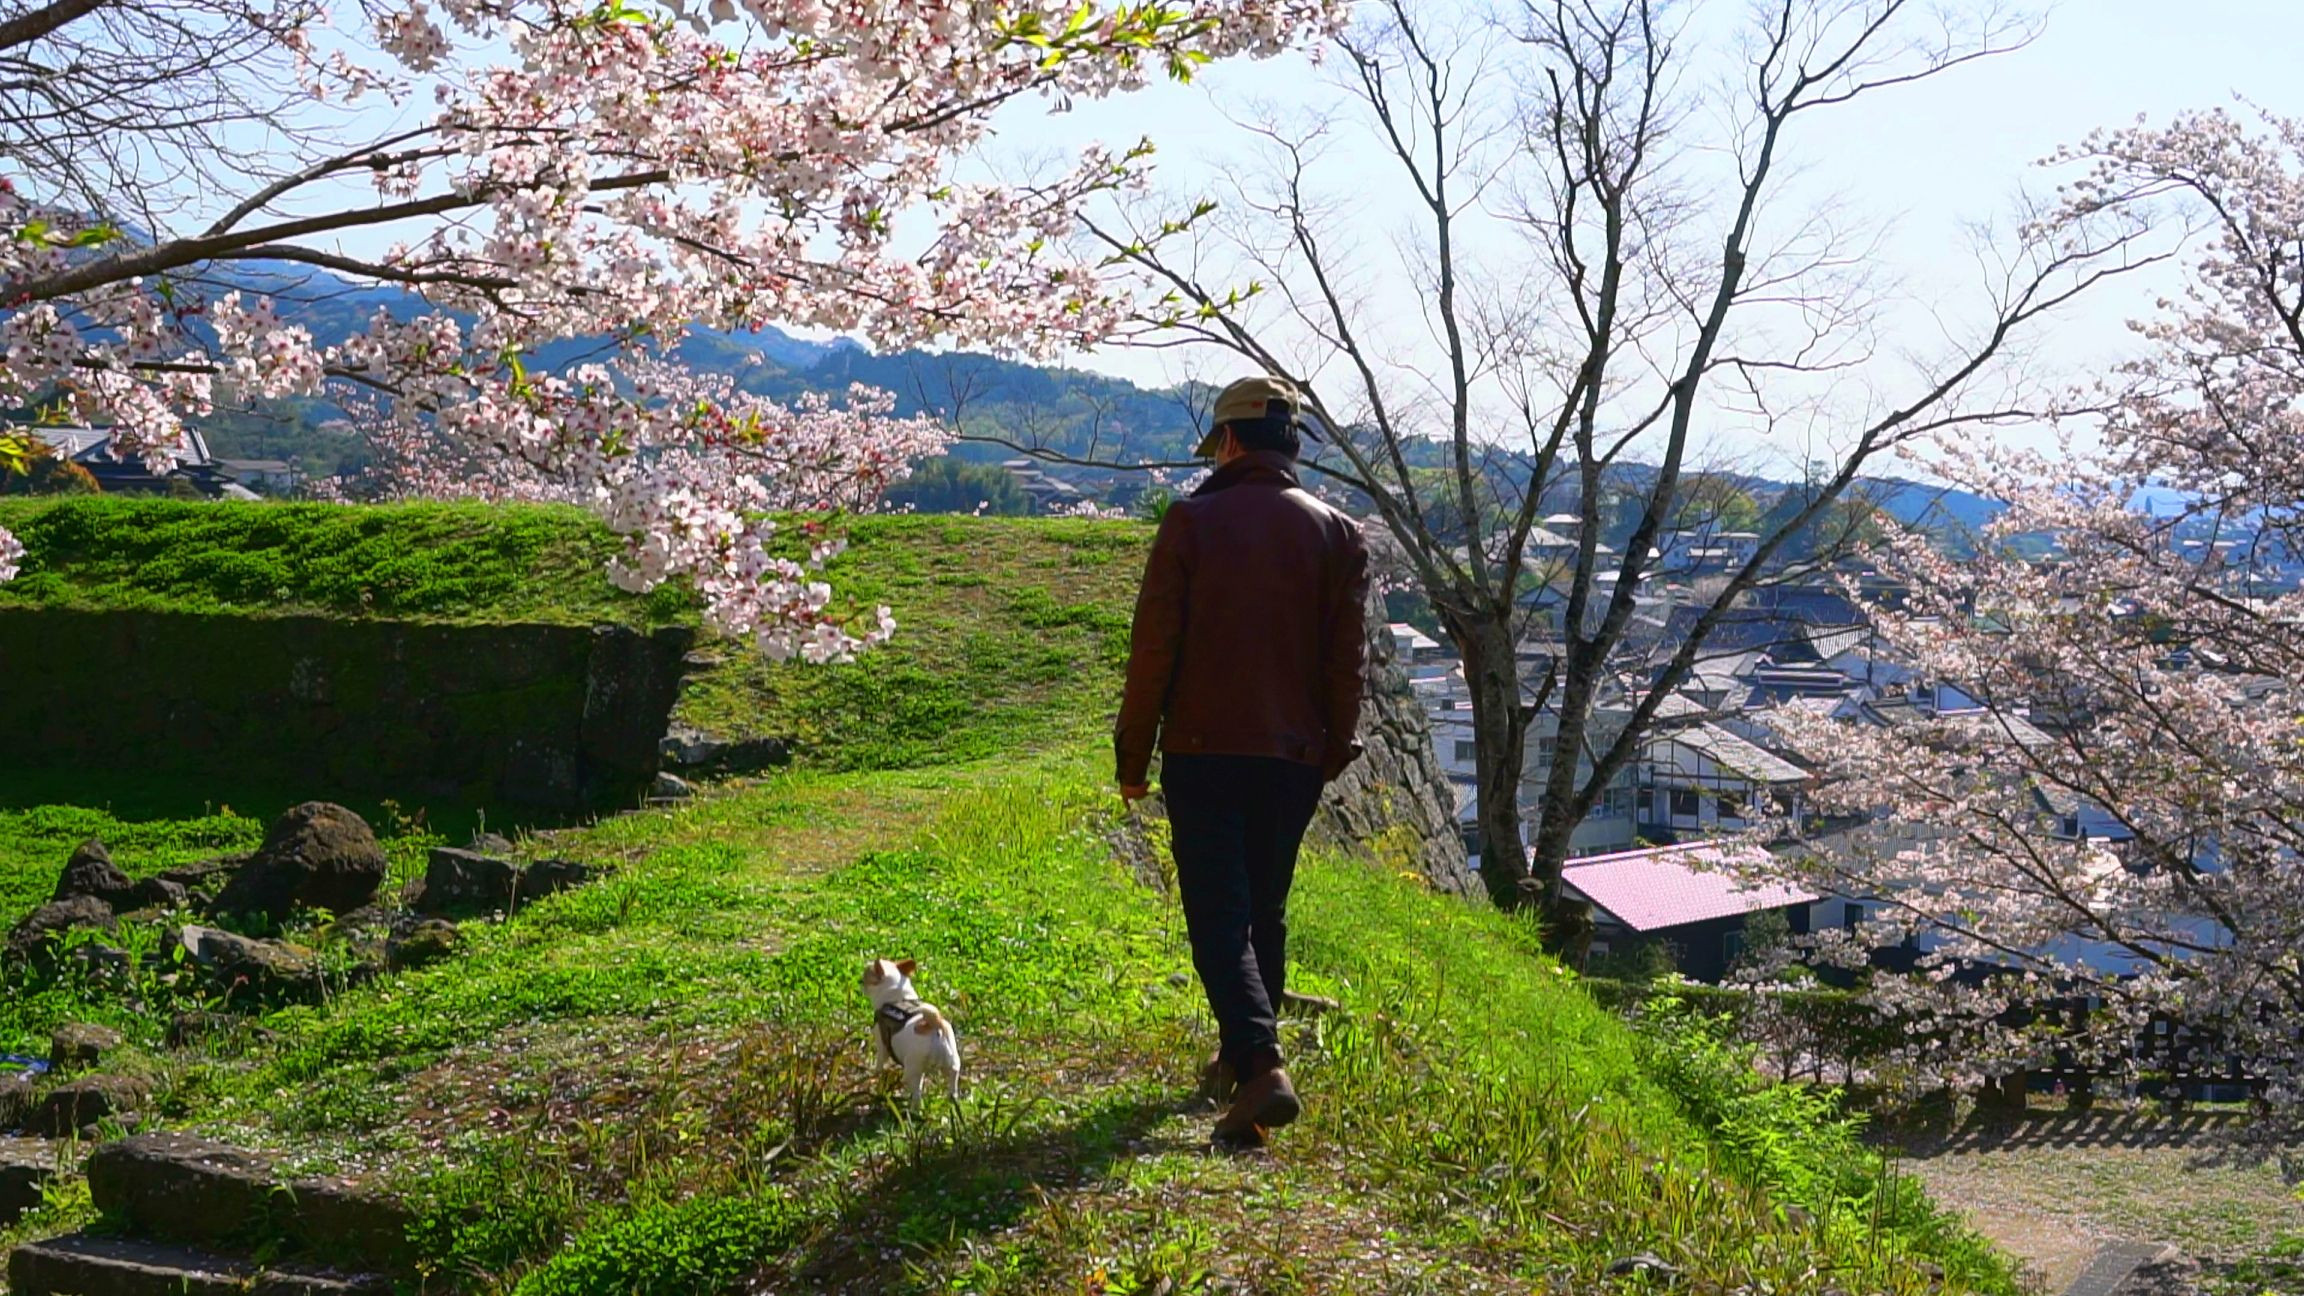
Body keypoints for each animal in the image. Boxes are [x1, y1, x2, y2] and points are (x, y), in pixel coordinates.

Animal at [860, 957, 962, 1105]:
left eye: (865, 977)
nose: (860, 982)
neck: (898, 998)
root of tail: (935, 1027)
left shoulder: (882, 1046)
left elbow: (879, 1064)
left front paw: (875, 1074)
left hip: (912, 1070)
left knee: (917, 1096)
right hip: (952, 1064)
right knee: (952, 1090)